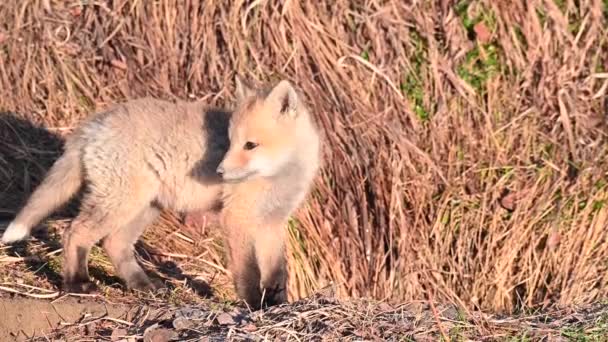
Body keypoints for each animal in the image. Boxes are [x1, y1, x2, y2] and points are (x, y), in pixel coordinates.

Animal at [0, 77, 320, 310]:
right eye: (231, 143)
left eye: (250, 145)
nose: (219, 172)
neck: (278, 177)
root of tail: (94, 123)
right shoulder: (236, 219)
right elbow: (248, 272)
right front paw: (254, 305)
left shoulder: (271, 222)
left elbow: (277, 271)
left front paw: (277, 303)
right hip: (121, 203)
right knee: (74, 233)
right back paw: (77, 284)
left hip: (144, 208)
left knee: (114, 243)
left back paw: (143, 285)